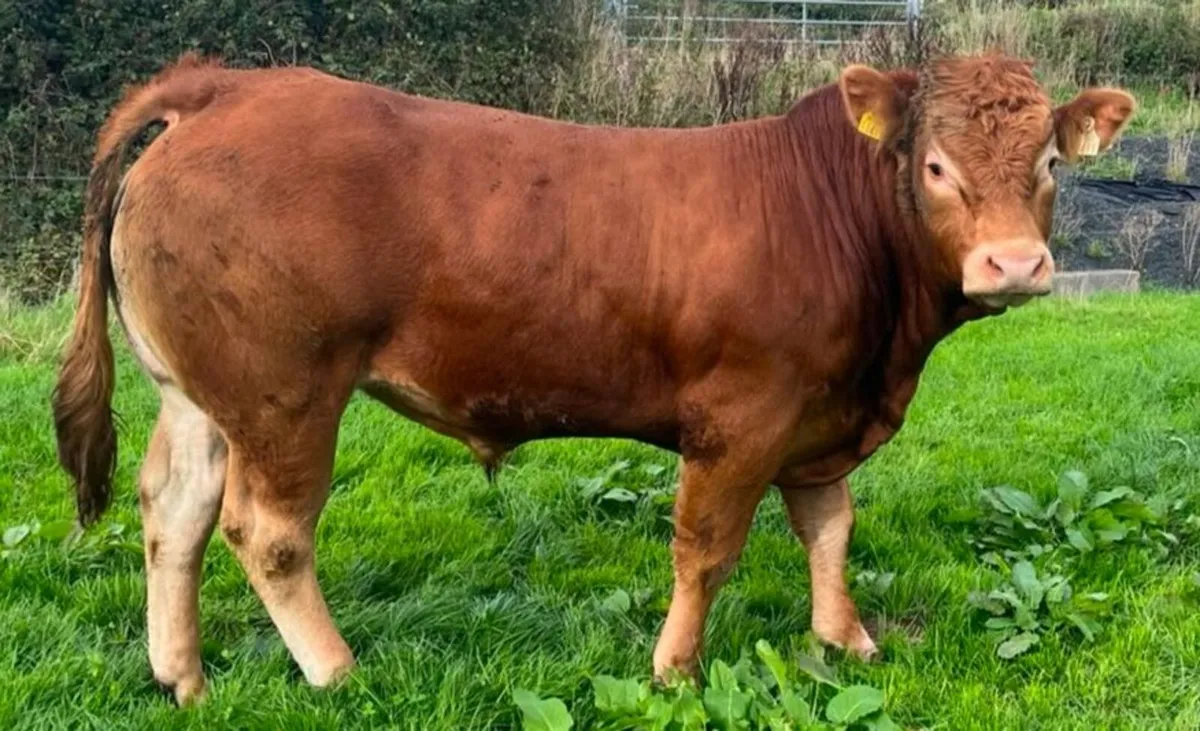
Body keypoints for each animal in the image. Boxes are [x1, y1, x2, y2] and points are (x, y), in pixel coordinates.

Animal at [52, 51, 1134, 704]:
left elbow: (830, 527)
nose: (1014, 264)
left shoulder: (823, 415)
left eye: (1048, 161)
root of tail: (226, 86)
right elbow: (706, 549)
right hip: (287, 390)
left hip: (200, 391)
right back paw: (337, 669)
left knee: (174, 509)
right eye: (937, 165)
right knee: (266, 529)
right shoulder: (743, 415)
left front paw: (848, 641)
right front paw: (676, 668)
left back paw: (182, 675)